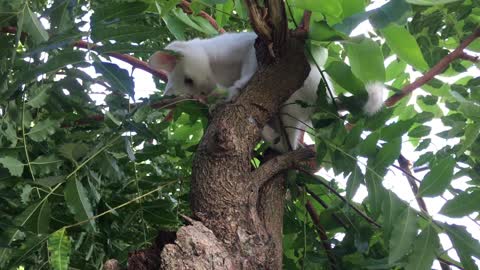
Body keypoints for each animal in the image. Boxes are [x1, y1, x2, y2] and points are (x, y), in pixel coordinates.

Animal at [148, 32, 384, 152]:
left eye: (189, 80)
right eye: (194, 93)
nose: (205, 93)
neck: (217, 68)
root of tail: (326, 98)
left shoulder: (250, 49)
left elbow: (247, 72)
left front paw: (236, 90)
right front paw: (217, 103)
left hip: (291, 105)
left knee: (288, 145)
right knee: (284, 144)